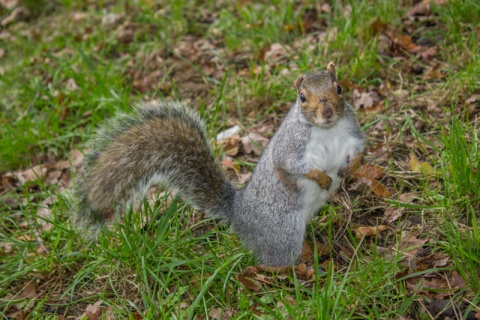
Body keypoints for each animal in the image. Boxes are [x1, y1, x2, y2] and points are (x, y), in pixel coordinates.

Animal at [72, 62, 364, 268]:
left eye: (338, 88)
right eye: (302, 97)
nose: (327, 112)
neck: (326, 129)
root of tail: (239, 214)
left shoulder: (351, 133)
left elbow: (360, 150)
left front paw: (350, 169)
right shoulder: (292, 144)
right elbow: (290, 163)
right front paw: (320, 177)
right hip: (283, 231)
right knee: (272, 263)